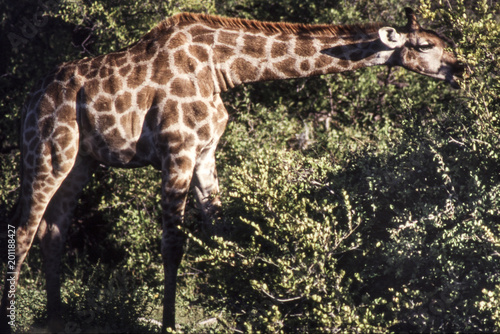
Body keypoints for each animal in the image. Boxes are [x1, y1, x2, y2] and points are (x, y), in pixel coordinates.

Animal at [0, 7, 460, 332]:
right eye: (424, 45)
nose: (462, 69)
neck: (222, 70)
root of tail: (28, 99)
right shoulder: (178, 150)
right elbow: (173, 245)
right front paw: (169, 324)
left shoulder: (205, 154)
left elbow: (222, 232)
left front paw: (237, 310)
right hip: (47, 151)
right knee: (23, 230)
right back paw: (14, 315)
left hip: (80, 161)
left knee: (54, 230)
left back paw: (56, 319)